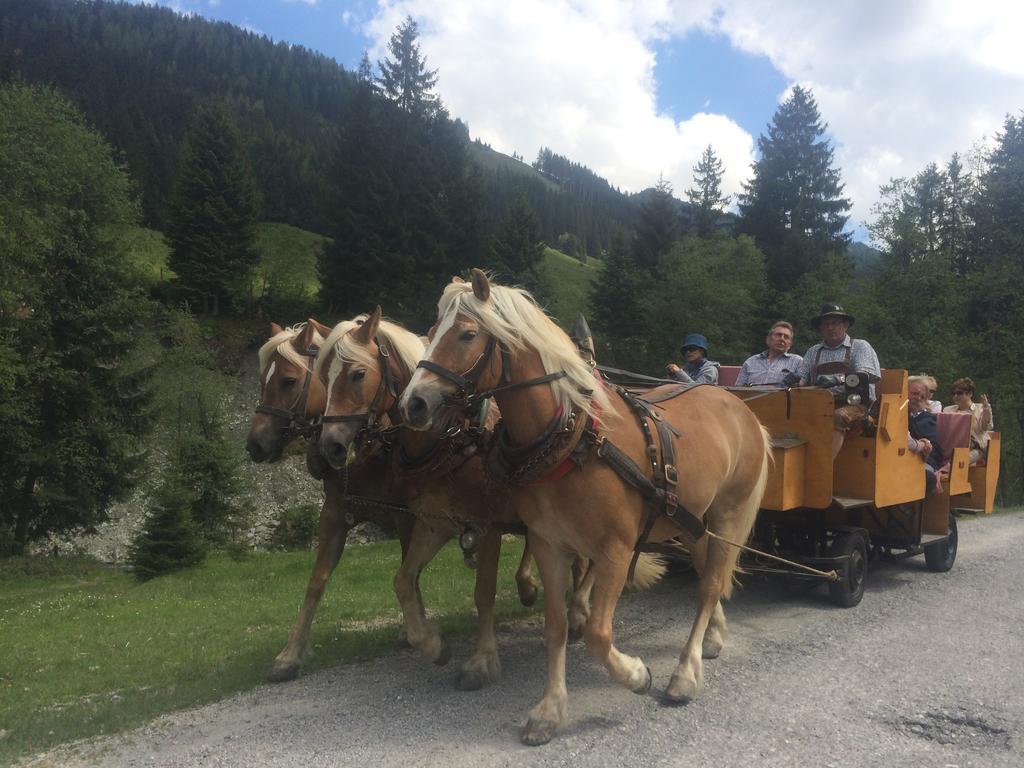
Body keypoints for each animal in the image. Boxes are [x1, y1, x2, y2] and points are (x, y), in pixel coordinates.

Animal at [399, 270, 770, 745]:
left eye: (466, 334)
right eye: (431, 333)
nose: (413, 403)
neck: (573, 440)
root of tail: (740, 407)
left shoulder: (615, 550)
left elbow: (597, 633)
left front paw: (636, 675)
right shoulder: (549, 543)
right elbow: (555, 626)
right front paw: (549, 710)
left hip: (727, 513)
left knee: (707, 586)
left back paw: (685, 674)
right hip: (688, 517)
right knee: (711, 571)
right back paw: (713, 636)